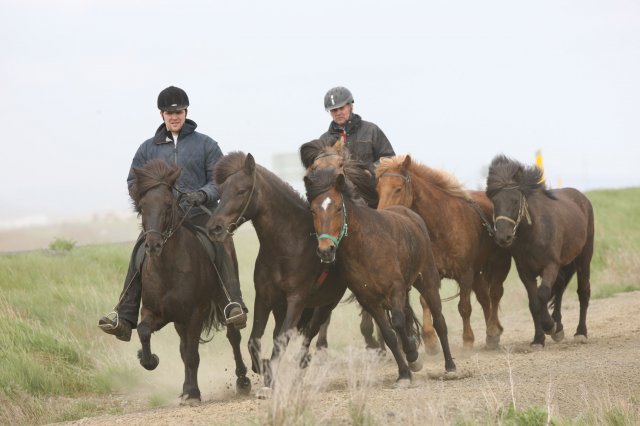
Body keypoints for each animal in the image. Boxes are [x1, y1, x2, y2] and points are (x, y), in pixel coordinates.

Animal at [129, 159, 250, 402]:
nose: (153, 245)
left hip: (222, 300)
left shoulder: (196, 313)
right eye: (142, 206)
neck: (167, 270)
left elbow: (193, 354)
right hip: (179, 320)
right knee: (183, 348)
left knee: (233, 335)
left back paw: (242, 381)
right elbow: (144, 332)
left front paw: (194, 393)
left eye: (168, 204)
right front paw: (149, 360)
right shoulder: (155, 312)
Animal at [206, 151, 348, 396]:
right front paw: (260, 368)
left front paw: (269, 380)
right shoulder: (265, 298)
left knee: (309, 336)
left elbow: (282, 340)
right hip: (282, 308)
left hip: (325, 304)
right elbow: (255, 340)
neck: (287, 245)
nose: (214, 227)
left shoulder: (297, 300)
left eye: (241, 190)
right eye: (221, 192)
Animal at [304, 167, 456, 386]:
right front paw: (404, 373)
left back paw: (450, 366)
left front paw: (413, 357)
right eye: (313, 210)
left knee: (439, 321)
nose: (326, 250)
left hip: (427, 281)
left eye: (338, 209)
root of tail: (412, 216)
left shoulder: (395, 288)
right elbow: (389, 334)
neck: (365, 246)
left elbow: (398, 323)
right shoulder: (368, 299)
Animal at [376, 156, 510, 350]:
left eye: (398, 188)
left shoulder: (465, 273)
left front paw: (467, 340)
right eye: (378, 189)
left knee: (495, 294)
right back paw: (492, 334)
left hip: (499, 263)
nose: (382, 217)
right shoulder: (430, 272)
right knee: (485, 298)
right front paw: (430, 339)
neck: (442, 223)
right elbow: (425, 302)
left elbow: (464, 307)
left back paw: (493, 330)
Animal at [484, 155, 596, 348]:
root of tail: (582, 198)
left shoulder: (550, 265)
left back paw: (580, 332)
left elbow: (543, 294)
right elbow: (534, 303)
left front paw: (549, 326)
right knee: (559, 288)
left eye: (515, 200)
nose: (503, 237)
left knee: (583, 292)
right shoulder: (525, 272)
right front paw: (539, 338)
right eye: (494, 202)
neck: (533, 233)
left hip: (584, 259)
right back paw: (559, 327)